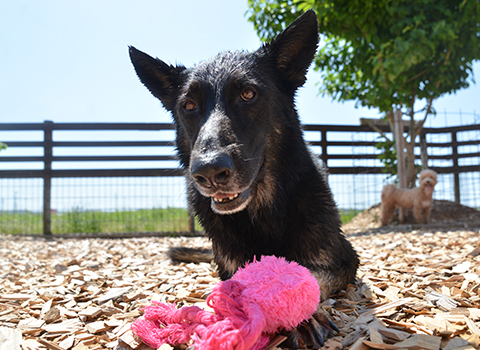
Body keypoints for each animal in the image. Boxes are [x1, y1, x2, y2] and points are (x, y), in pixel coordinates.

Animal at [129, 9, 358, 348]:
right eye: (189, 105)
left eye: (248, 94)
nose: (209, 171)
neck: (264, 212)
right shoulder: (230, 265)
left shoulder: (343, 258)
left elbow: (310, 274)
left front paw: (300, 312)